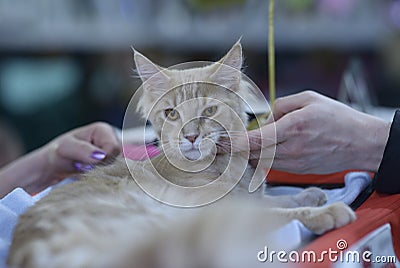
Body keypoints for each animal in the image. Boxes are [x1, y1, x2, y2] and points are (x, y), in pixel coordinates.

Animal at [7, 40, 356, 266]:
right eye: (171, 114)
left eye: (209, 111)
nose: (190, 137)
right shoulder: (213, 209)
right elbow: (273, 211)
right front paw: (323, 211)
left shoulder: (240, 199)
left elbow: (271, 200)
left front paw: (308, 195)